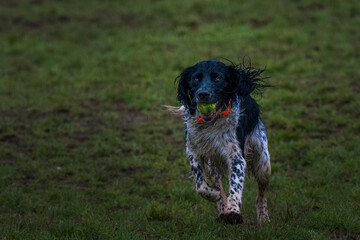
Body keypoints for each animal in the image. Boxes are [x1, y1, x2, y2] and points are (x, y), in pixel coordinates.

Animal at [168, 59, 270, 224]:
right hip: (214, 167)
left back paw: (263, 216)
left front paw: (233, 211)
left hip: (263, 164)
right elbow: (201, 186)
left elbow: (235, 186)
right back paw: (222, 209)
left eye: (217, 78)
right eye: (196, 78)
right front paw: (215, 196)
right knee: (219, 186)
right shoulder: (193, 151)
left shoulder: (236, 158)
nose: (203, 94)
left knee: (261, 195)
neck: (210, 123)